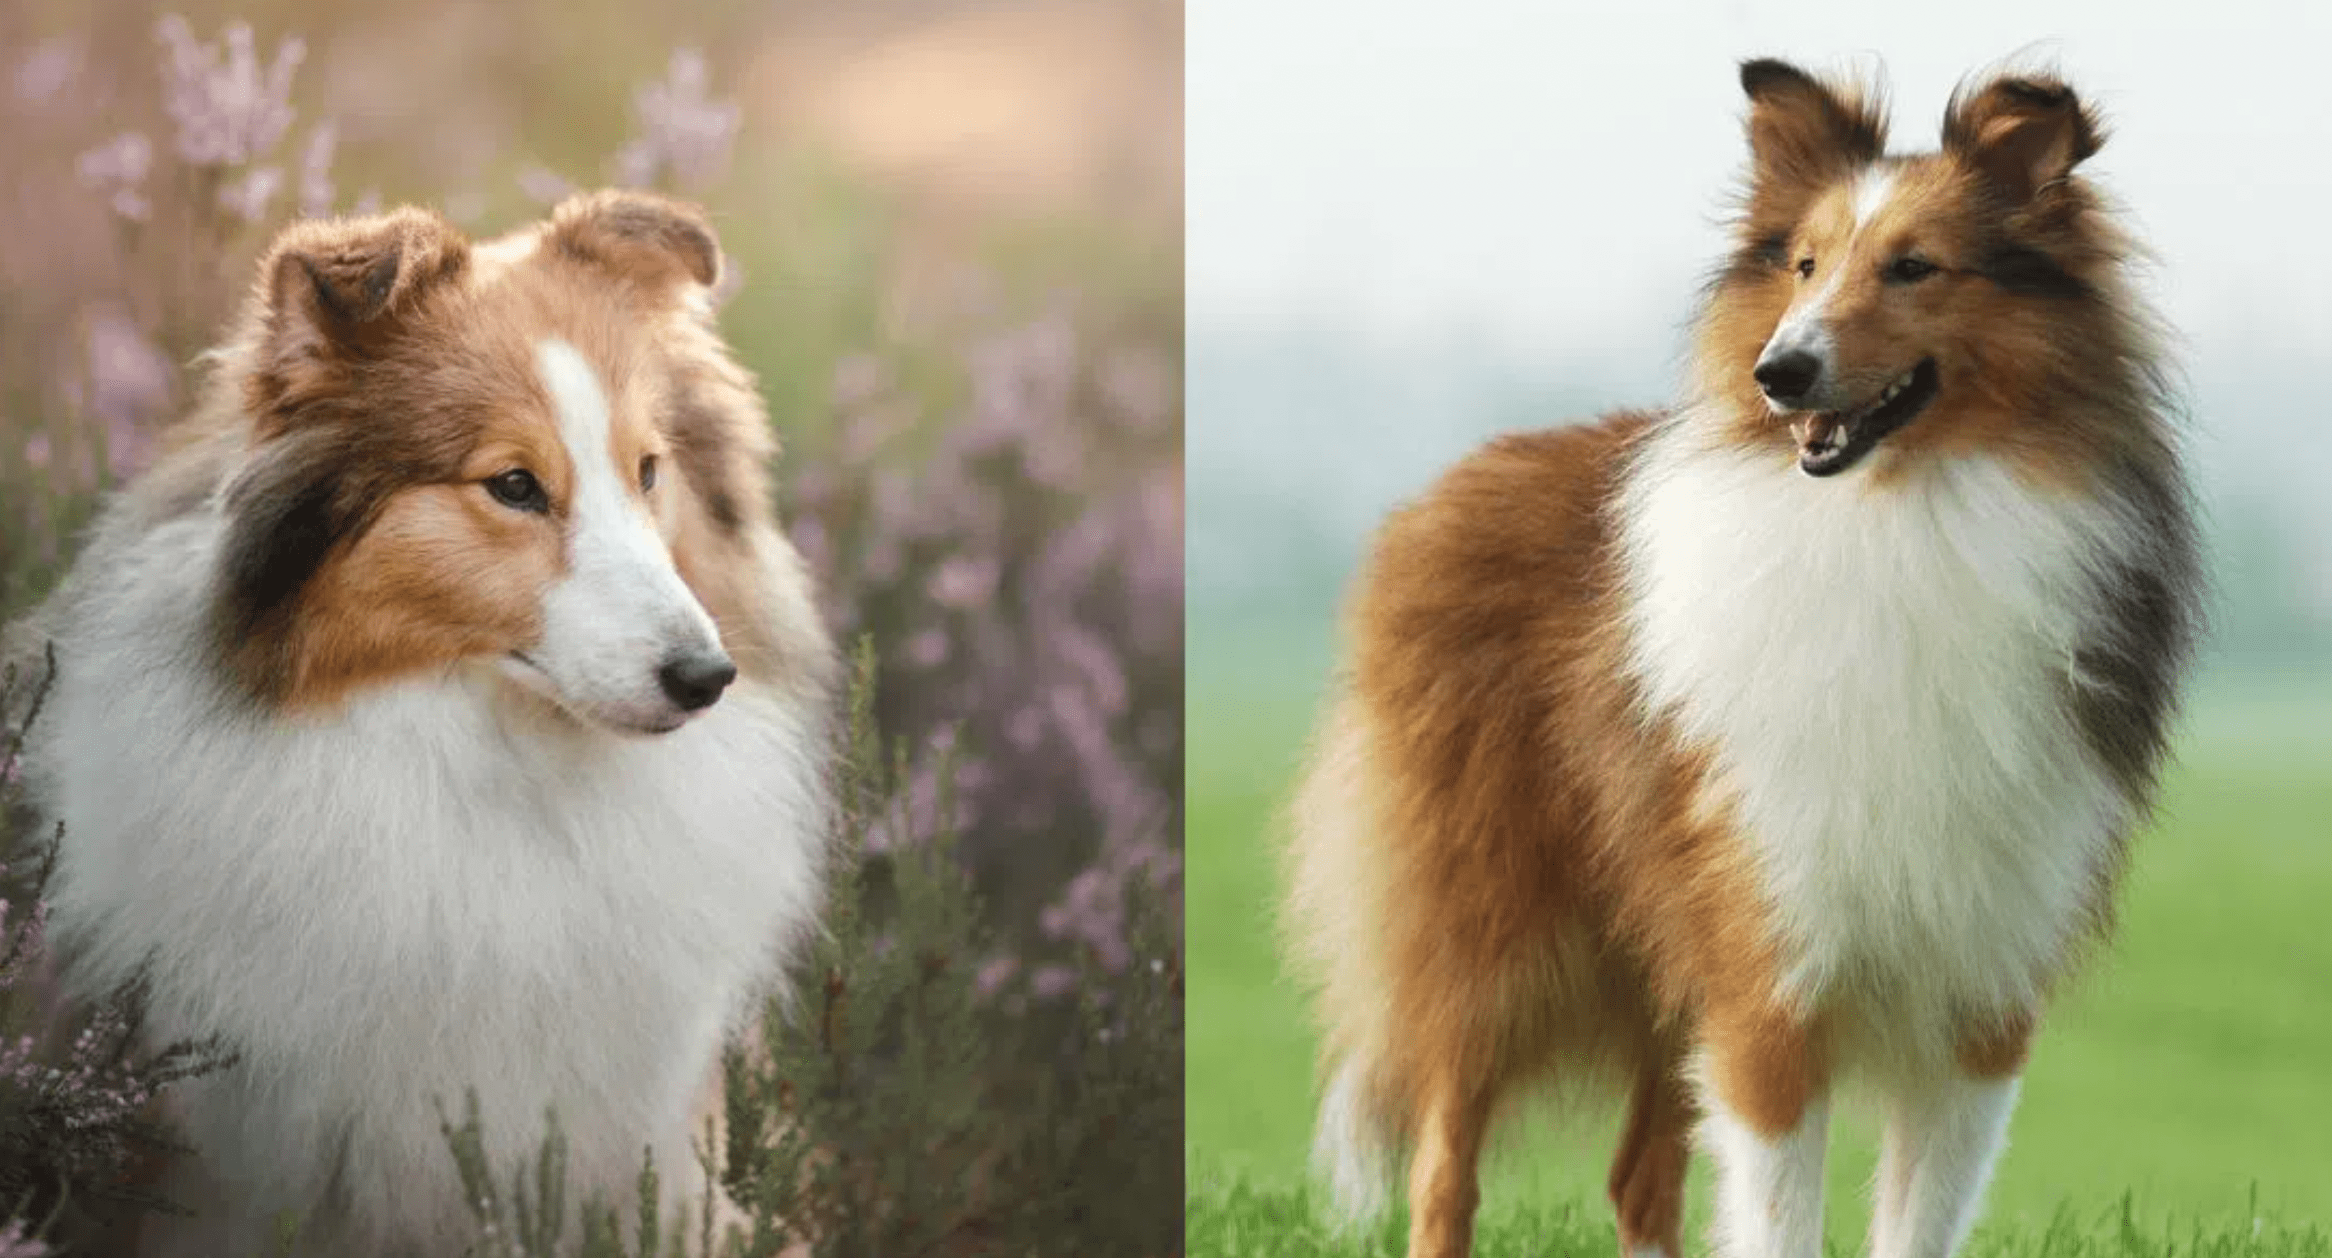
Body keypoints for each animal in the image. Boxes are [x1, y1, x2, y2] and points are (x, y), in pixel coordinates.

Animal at [1296, 61, 2201, 1258]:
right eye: (1804, 265)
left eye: (1915, 266)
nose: (1782, 371)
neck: (1899, 520)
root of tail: (1450, 482)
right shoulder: (1768, 973)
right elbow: (1777, 1218)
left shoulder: (1978, 1002)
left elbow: (1917, 1221)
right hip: (1488, 933)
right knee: (1442, 1171)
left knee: (1637, 1178)